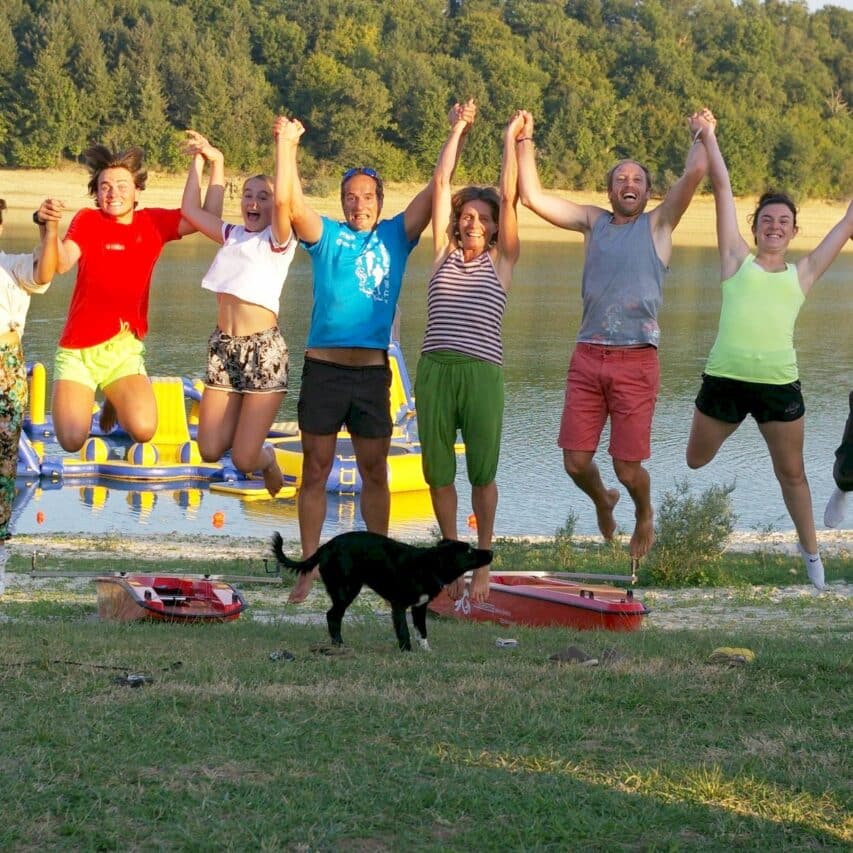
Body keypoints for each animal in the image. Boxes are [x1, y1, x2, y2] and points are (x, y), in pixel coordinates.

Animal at [270, 528, 490, 648]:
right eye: (469, 551)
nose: (491, 552)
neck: (427, 565)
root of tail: (326, 546)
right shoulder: (399, 606)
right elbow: (404, 632)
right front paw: (407, 651)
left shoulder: (420, 607)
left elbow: (422, 632)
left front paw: (426, 651)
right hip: (346, 590)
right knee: (332, 616)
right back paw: (339, 644)